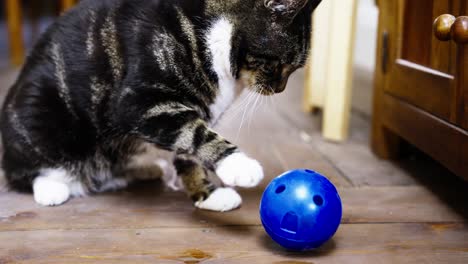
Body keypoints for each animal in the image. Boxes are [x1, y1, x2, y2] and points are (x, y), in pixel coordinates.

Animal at [0, 0, 322, 211]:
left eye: (293, 69)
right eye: (279, 65)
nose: (280, 89)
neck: (208, 33)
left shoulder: (190, 111)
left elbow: (188, 151)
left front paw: (208, 195)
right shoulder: (140, 103)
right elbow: (197, 134)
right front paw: (238, 164)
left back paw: (140, 169)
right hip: (39, 118)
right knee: (24, 172)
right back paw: (52, 187)